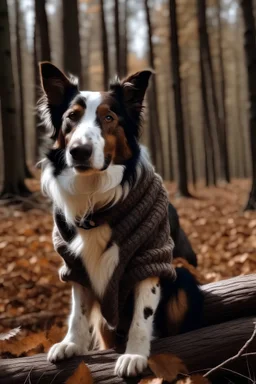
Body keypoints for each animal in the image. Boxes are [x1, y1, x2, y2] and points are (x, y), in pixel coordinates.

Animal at [38, 61, 202, 376]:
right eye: (71, 118)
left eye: (109, 117)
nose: (79, 151)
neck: (96, 197)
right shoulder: (73, 262)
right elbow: (77, 310)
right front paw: (71, 343)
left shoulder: (151, 256)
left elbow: (142, 314)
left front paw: (135, 355)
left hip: (184, 277)